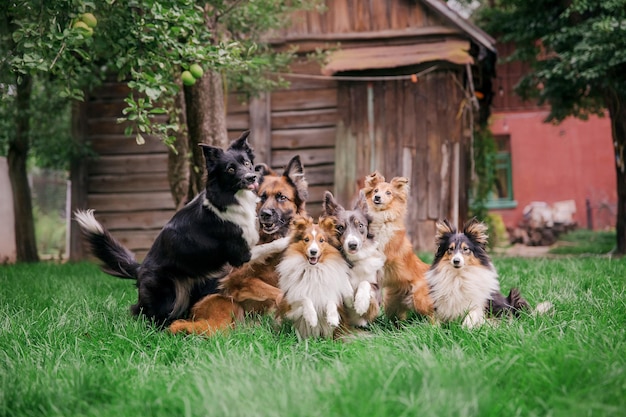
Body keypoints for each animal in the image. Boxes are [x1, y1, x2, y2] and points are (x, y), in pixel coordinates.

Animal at [169, 154, 308, 334]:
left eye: (281, 197)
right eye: (262, 197)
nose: (265, 214)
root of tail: (194, 314)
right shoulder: (237, 280)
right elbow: (279, 293)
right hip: (227, 307)